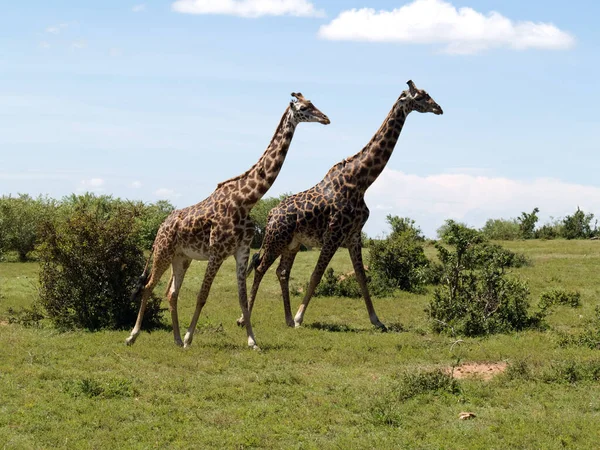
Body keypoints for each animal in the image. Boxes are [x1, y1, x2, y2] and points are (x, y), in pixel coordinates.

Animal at [126, 93, 330, 350]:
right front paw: (189, 338)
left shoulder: (241, 251)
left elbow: (242, 297)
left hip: (181, 258)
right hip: (163, 252)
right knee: (148, 287)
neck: (247, 200)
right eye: (304, 107)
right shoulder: (217, 252)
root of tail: (160, 227)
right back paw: (133, 336)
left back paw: (175, 338)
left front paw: (253, 341)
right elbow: (202, 295)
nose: (326, 118)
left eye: (314, 103)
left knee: (171, 293)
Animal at [241, 81, 442, 330]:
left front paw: (377, 321)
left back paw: (285, 319)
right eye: (422, 97)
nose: (439, 108)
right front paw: (299, 317)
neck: (361, 181)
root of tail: (269, 214)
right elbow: (316, 275)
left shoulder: (354, 235)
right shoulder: (334, 233)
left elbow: (361, 277)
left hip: (292, 244)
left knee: (281, 271)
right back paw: (246, 319)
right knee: (260, 267)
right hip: (276, 238)